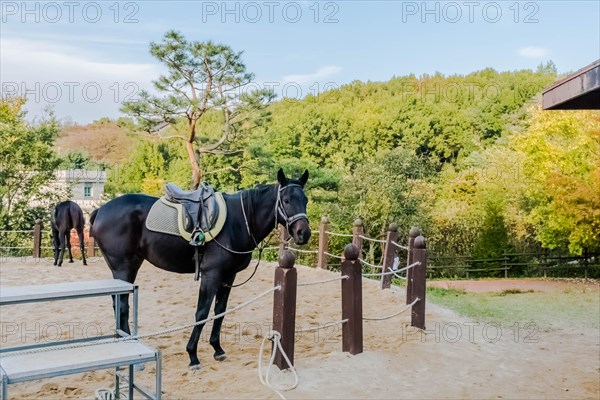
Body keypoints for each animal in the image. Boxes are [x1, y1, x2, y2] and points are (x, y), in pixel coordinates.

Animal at [91, 169, 312, 368]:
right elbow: (202, 313)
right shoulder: (211, 275)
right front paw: (193, 355)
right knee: (122, 306)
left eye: (305, 200)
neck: (239, 220)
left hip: (130, 267)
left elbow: (220, 311)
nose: (304, 233)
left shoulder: (228, 276)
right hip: (123, 268)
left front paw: (217, 348)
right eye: (286, 200)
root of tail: (100, 210)